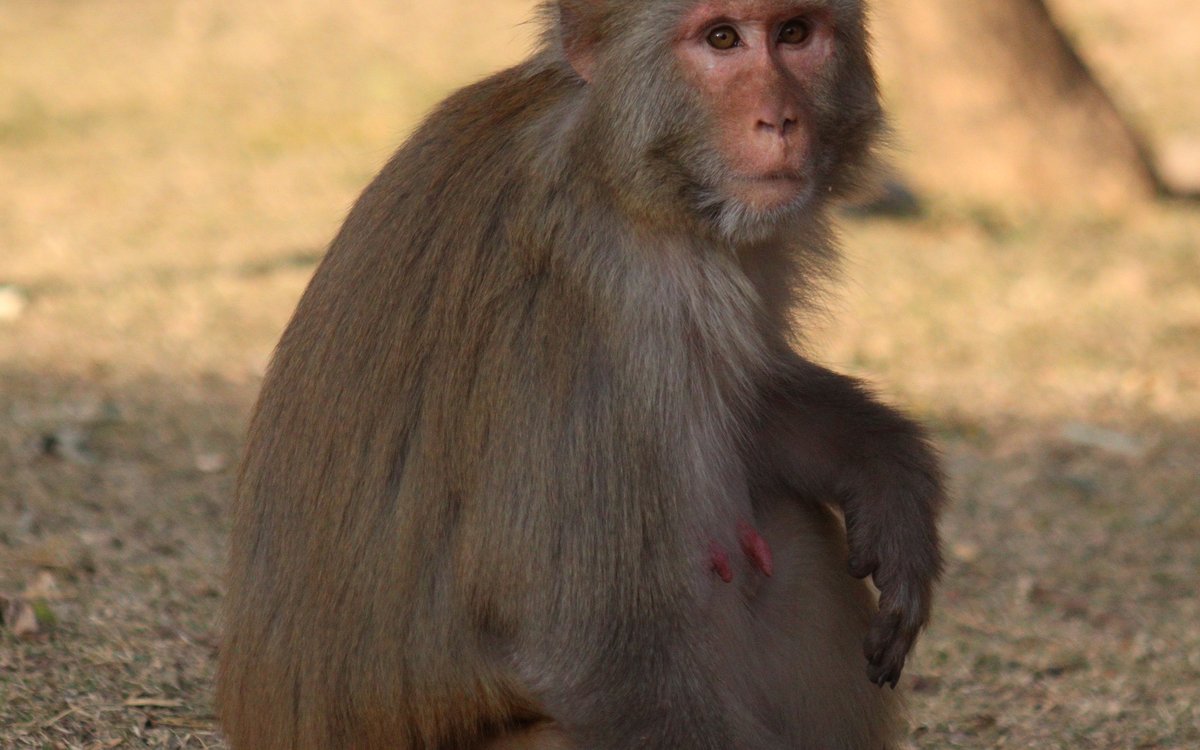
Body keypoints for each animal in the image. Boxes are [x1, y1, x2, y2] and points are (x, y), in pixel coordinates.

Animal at [217, 0, 945, 748]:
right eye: (722, 38)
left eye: (794, 34)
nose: (781, 120)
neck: (615, 168)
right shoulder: (596, 314)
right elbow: (606, 657)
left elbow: (752, 402)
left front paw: (886, 474)